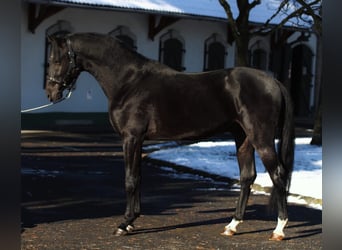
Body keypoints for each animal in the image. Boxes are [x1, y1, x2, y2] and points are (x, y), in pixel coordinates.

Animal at [46, 32, 294, 240]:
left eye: (57, 60)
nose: (51, 92)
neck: (129, 81)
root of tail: (274, 81)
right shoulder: (138, 141)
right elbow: (138, 178)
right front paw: (132, 220)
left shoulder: (130, 138)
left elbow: (129, 180)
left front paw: (124, 223)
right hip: (243, 137)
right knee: (247, 177)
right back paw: (232, 226)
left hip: (261, 139)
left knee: (278, 175)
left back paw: (279, 230)